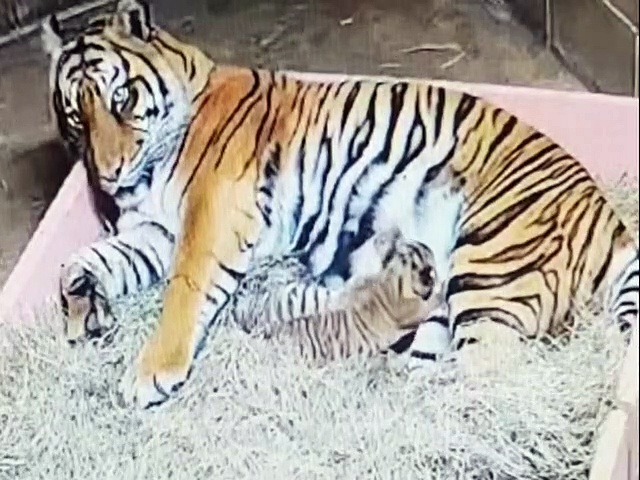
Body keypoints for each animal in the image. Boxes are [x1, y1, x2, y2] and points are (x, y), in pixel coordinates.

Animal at [41, 0, 639, 409]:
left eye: (121, 98)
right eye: (75, 114)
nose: (109, 173)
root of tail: (608, 213)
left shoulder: (210, 216)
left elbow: (184, 292)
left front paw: (148, 374)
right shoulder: (157, 234)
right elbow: (82, 261)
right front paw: (84, 312)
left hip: (491, 266)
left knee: (492, 378)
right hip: (447, 299)